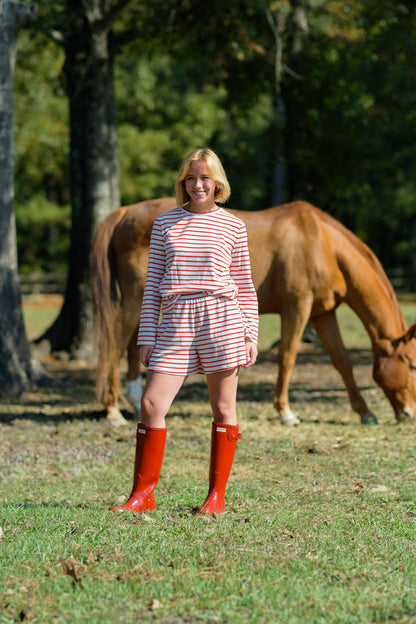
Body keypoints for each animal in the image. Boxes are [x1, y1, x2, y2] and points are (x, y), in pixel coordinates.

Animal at [90, 197, 416, 426]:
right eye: (411, 365)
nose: (410, 413)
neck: (322, 243)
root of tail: (125, 212)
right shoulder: (297, 307)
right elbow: (287, 357)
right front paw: (285, 412)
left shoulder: (322, 314)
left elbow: (342, 361)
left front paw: (365, 412)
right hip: (136, 300)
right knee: (114, 346)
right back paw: (112, 411)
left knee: (135, 347)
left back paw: (134, 404)